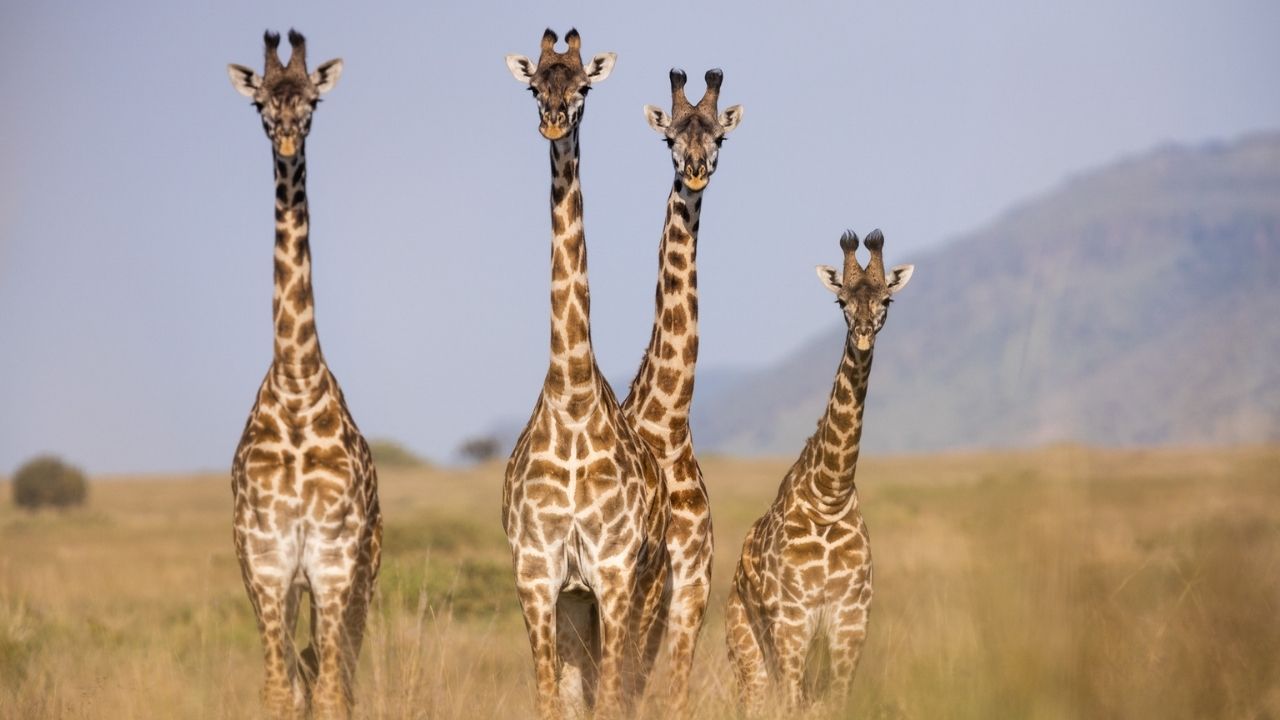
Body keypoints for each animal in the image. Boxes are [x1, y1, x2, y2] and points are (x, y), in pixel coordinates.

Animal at [725, 230, 914, 717]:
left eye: (886, 299)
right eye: (840, 300)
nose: (862, 335)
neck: (829, 492)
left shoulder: (850, 621)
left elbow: (838, 702)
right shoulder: (792, 621)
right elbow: (791, 706)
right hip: (747, 648)